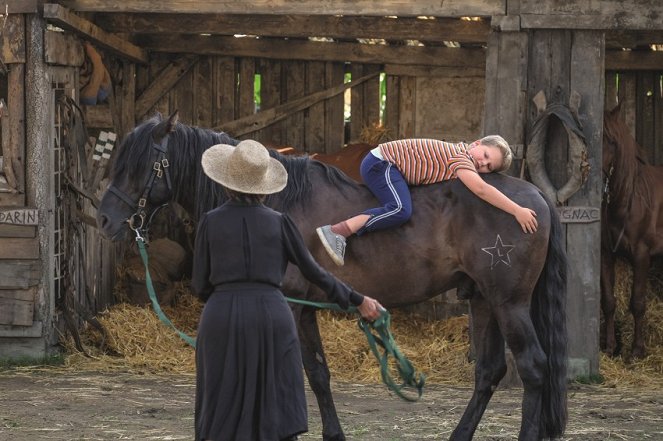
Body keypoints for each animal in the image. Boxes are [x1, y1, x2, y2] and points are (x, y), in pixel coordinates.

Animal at [96, 112, 568, 440]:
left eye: (141, 164)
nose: (104, 220)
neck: (273, 200)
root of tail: (533, 199)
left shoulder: (291, 306)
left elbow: (298, 372)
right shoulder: (302, 307)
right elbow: (317, 374)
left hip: (509, 303)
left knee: (533, 368)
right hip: (483, 301)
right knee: (489, 372)